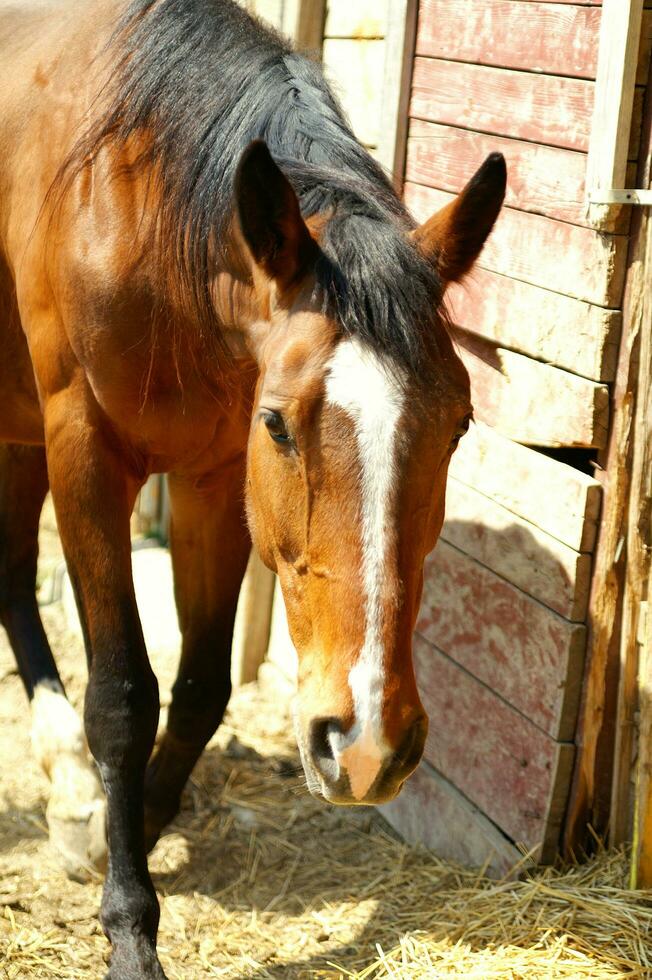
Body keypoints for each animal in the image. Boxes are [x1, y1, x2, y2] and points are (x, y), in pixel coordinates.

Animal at [0, 0, 506, 972]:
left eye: (460, 423)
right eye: (279, 422)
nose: (368, 744)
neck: (139, 207)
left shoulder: (215, 479)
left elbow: (200, 685)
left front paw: (137, 826)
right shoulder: (84, 451)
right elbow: (122, 695)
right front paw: (131, 927)